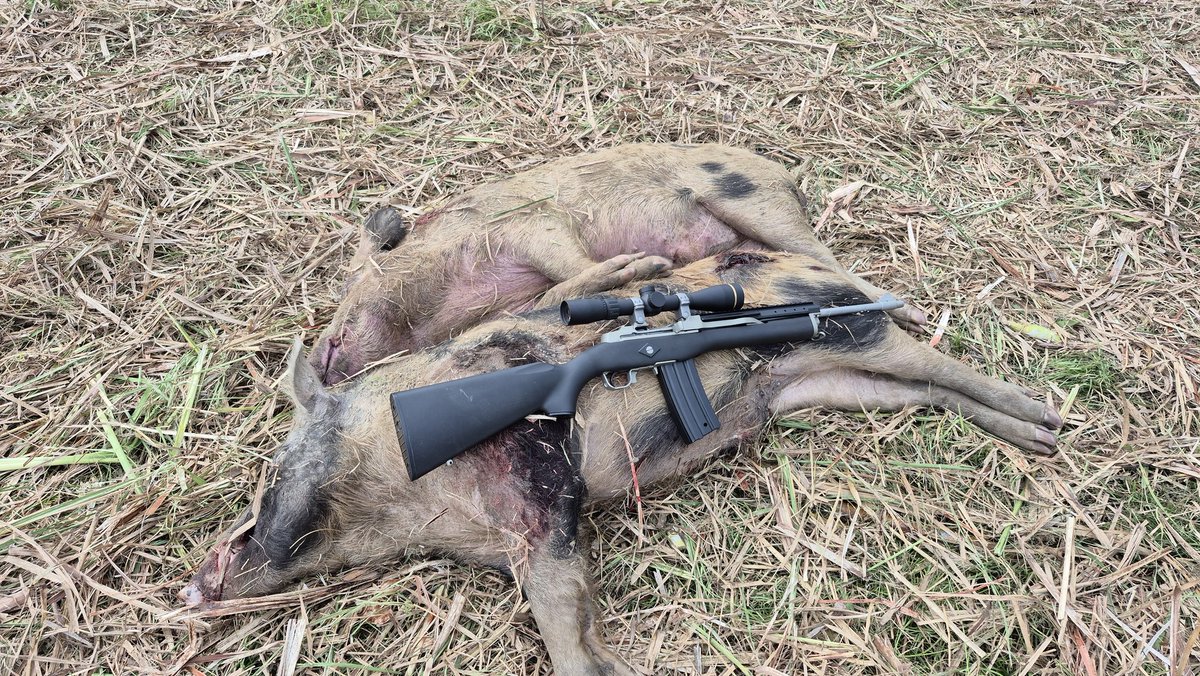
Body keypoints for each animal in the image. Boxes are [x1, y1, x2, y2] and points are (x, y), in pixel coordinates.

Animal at [181, 251, 1061, 675]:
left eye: (271, 469)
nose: (193, 585)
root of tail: (838, 278)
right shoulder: (523, 532)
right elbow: (563, 616)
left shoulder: (543, 487)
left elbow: (562, 615)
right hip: (833, 382)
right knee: (928, 392)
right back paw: (1040, 435)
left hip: (855, 333)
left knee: (939, 364)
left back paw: (1049, 421)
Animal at [310, 143, 927, 385]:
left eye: (357, 274)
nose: (320, 357)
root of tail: (787, 177)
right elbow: (550, 298)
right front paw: (643, 264)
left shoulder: (531, 226)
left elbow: (569, 267)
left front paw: (642, 261)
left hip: (754, 200)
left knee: (823, 256)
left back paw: (913, 315)